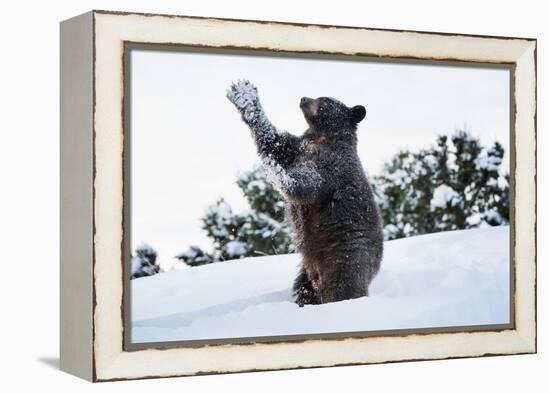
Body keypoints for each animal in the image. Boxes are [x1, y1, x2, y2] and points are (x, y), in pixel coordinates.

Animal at [227, 79, 384, 304]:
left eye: (325, 100)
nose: (303, 98)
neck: (320, 136)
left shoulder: (329, 167)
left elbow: (305, 185)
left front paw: (274, 172)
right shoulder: (297, 148)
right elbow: (273, 141)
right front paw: (243, 94)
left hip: (346, 256)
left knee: (342, 288)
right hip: (307, 272)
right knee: (304, 289)